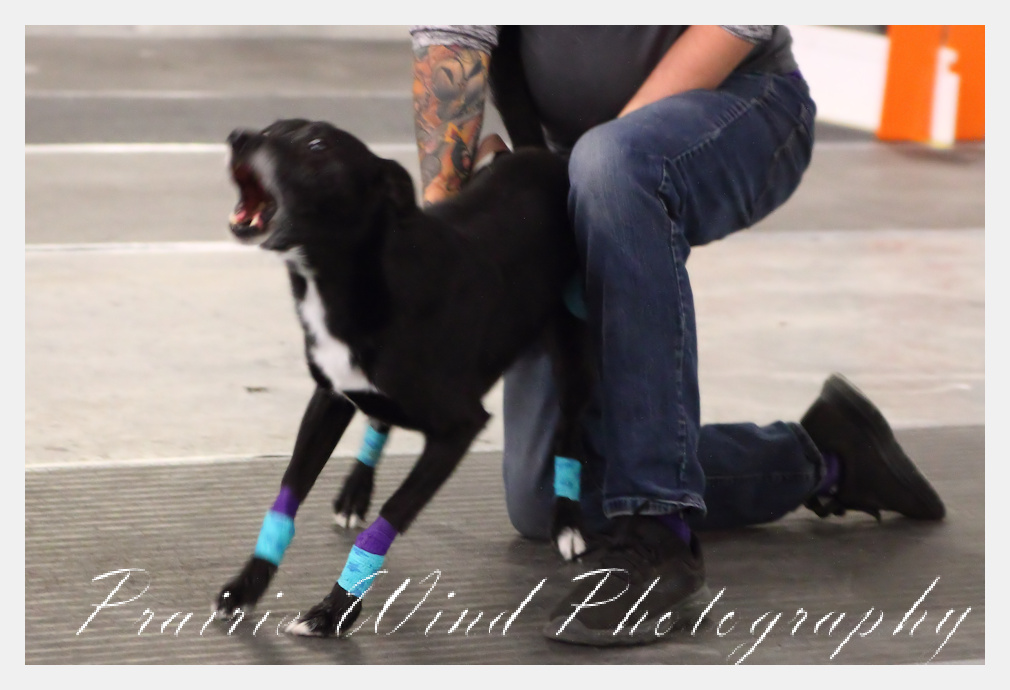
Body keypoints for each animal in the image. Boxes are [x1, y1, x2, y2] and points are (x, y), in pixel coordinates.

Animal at [213, 116, 594, 637]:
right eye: (271, 127)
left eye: (317, 145)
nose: (239, 137)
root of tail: (542, 154)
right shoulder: (329, 397)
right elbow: (287, 494)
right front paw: (248, 585)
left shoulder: (460, 427)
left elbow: (393, 513)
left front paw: (335, 608)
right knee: (378, 419)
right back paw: (356, 488)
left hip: (572, 342)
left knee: (571, 426)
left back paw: (568, 521)